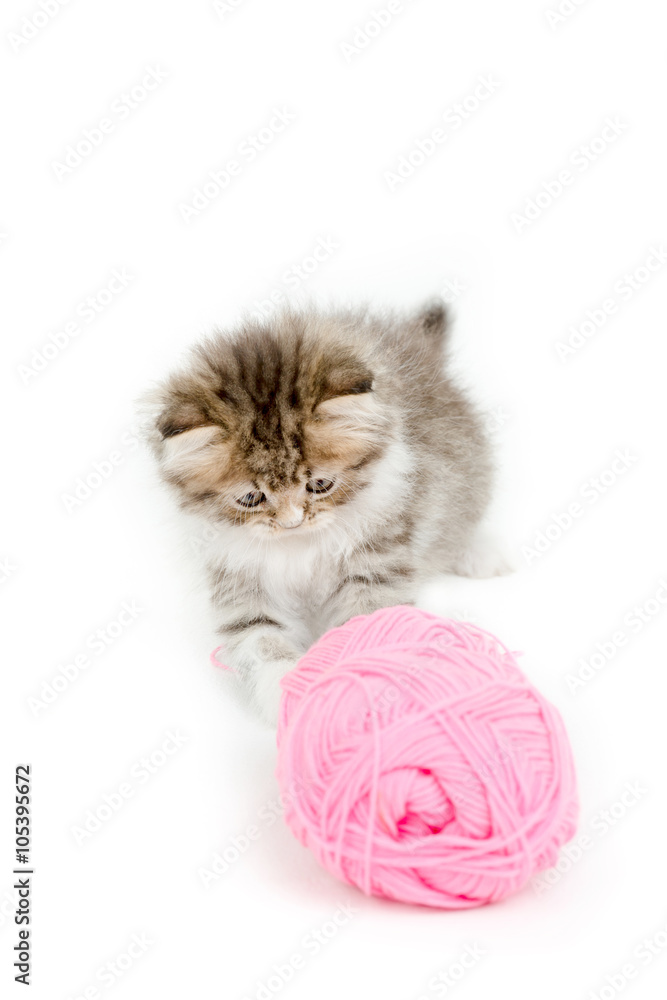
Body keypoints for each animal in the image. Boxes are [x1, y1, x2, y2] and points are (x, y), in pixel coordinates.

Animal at [146, 300, 500, 724]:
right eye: (251, 498)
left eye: (319, 486)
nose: (292, 523)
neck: (301, 546)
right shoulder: (239, 584)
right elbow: (261, 641)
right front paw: (286, 695)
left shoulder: (377, 560)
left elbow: (367, 625)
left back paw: (481, 554)